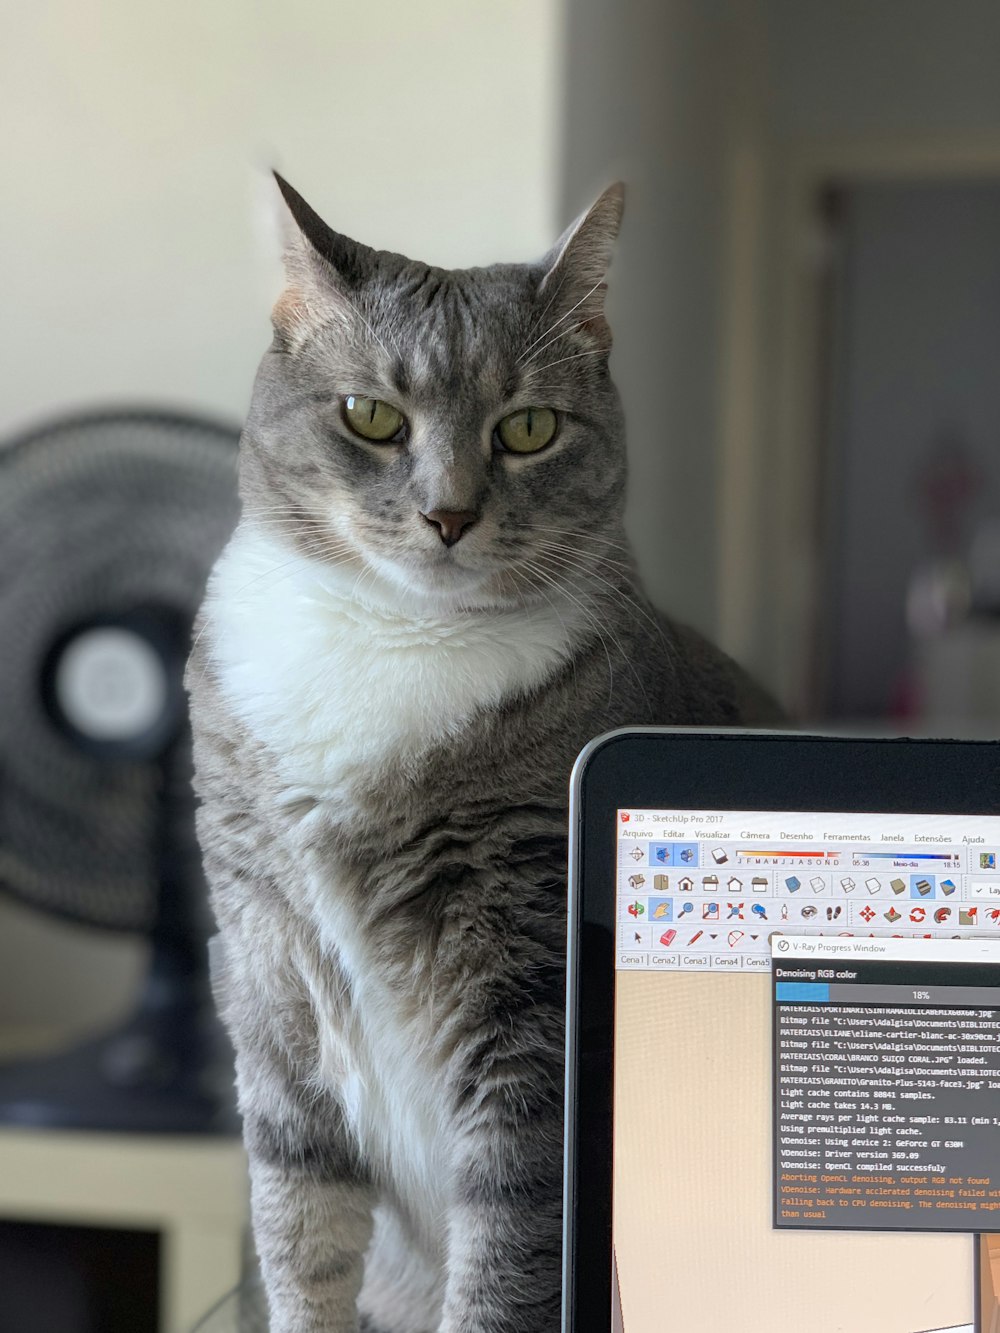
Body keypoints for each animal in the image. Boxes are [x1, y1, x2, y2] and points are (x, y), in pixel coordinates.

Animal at [188, 177, 778, 1333]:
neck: (390, 636)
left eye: (529, 428)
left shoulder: (529, 1003)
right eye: (372, 416)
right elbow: (300, 1225)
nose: (450, 513)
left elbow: (508, 1242)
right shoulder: (267, 973)